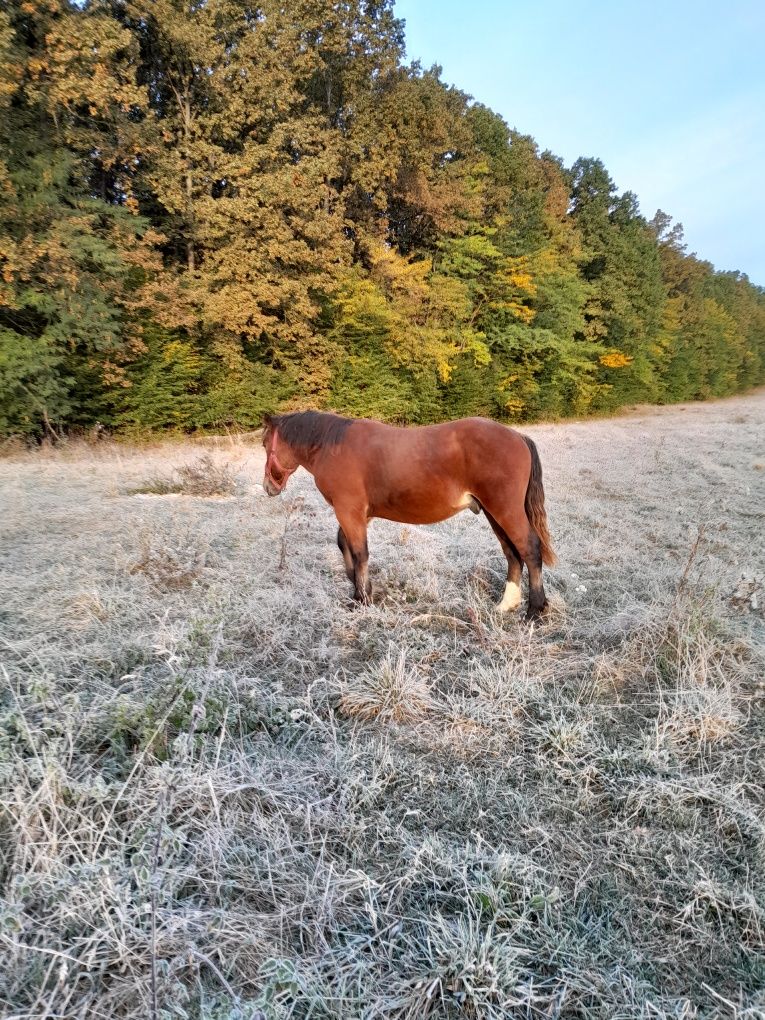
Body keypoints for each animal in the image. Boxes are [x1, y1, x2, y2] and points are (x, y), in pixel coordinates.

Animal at [263, 408, 558, 616]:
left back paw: (535, 609)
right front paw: (359, 587)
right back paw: (507, 604)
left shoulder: (349, 510)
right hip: (493, 512)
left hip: (505, 510)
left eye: (265, 444)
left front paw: (361, 598)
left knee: (529, 548)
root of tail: (518, 436)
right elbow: (344, 544)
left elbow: (359, 553)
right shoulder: (361, 513)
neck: (333, 446)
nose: (268, 487)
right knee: (512, 553)